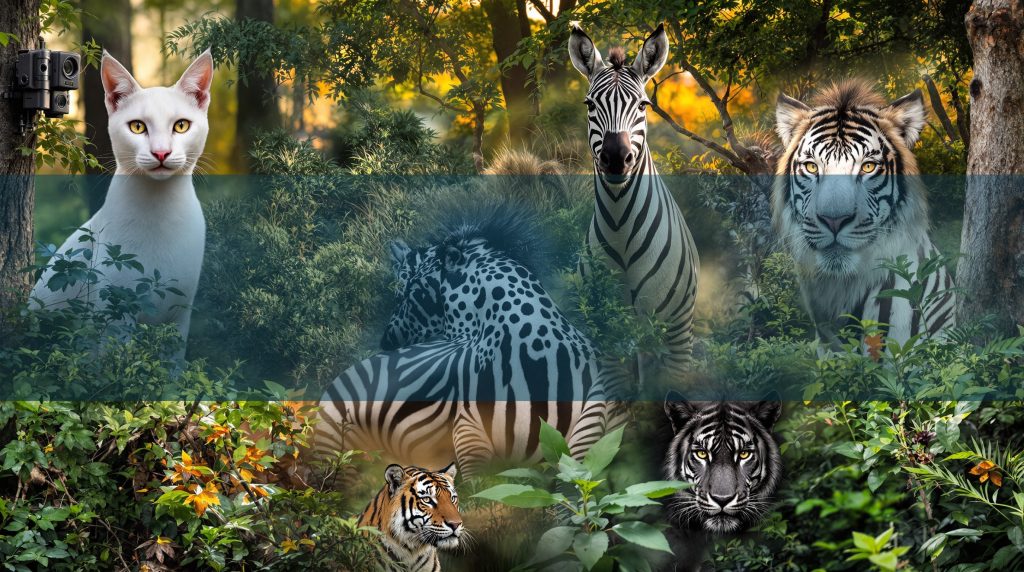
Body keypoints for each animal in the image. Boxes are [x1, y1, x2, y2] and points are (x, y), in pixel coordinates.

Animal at [568, 23, 700, 380]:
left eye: (643, 106)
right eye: (589, 105)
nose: (616, 158)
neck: (621, 227)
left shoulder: (675, 334)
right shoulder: (606, 335)